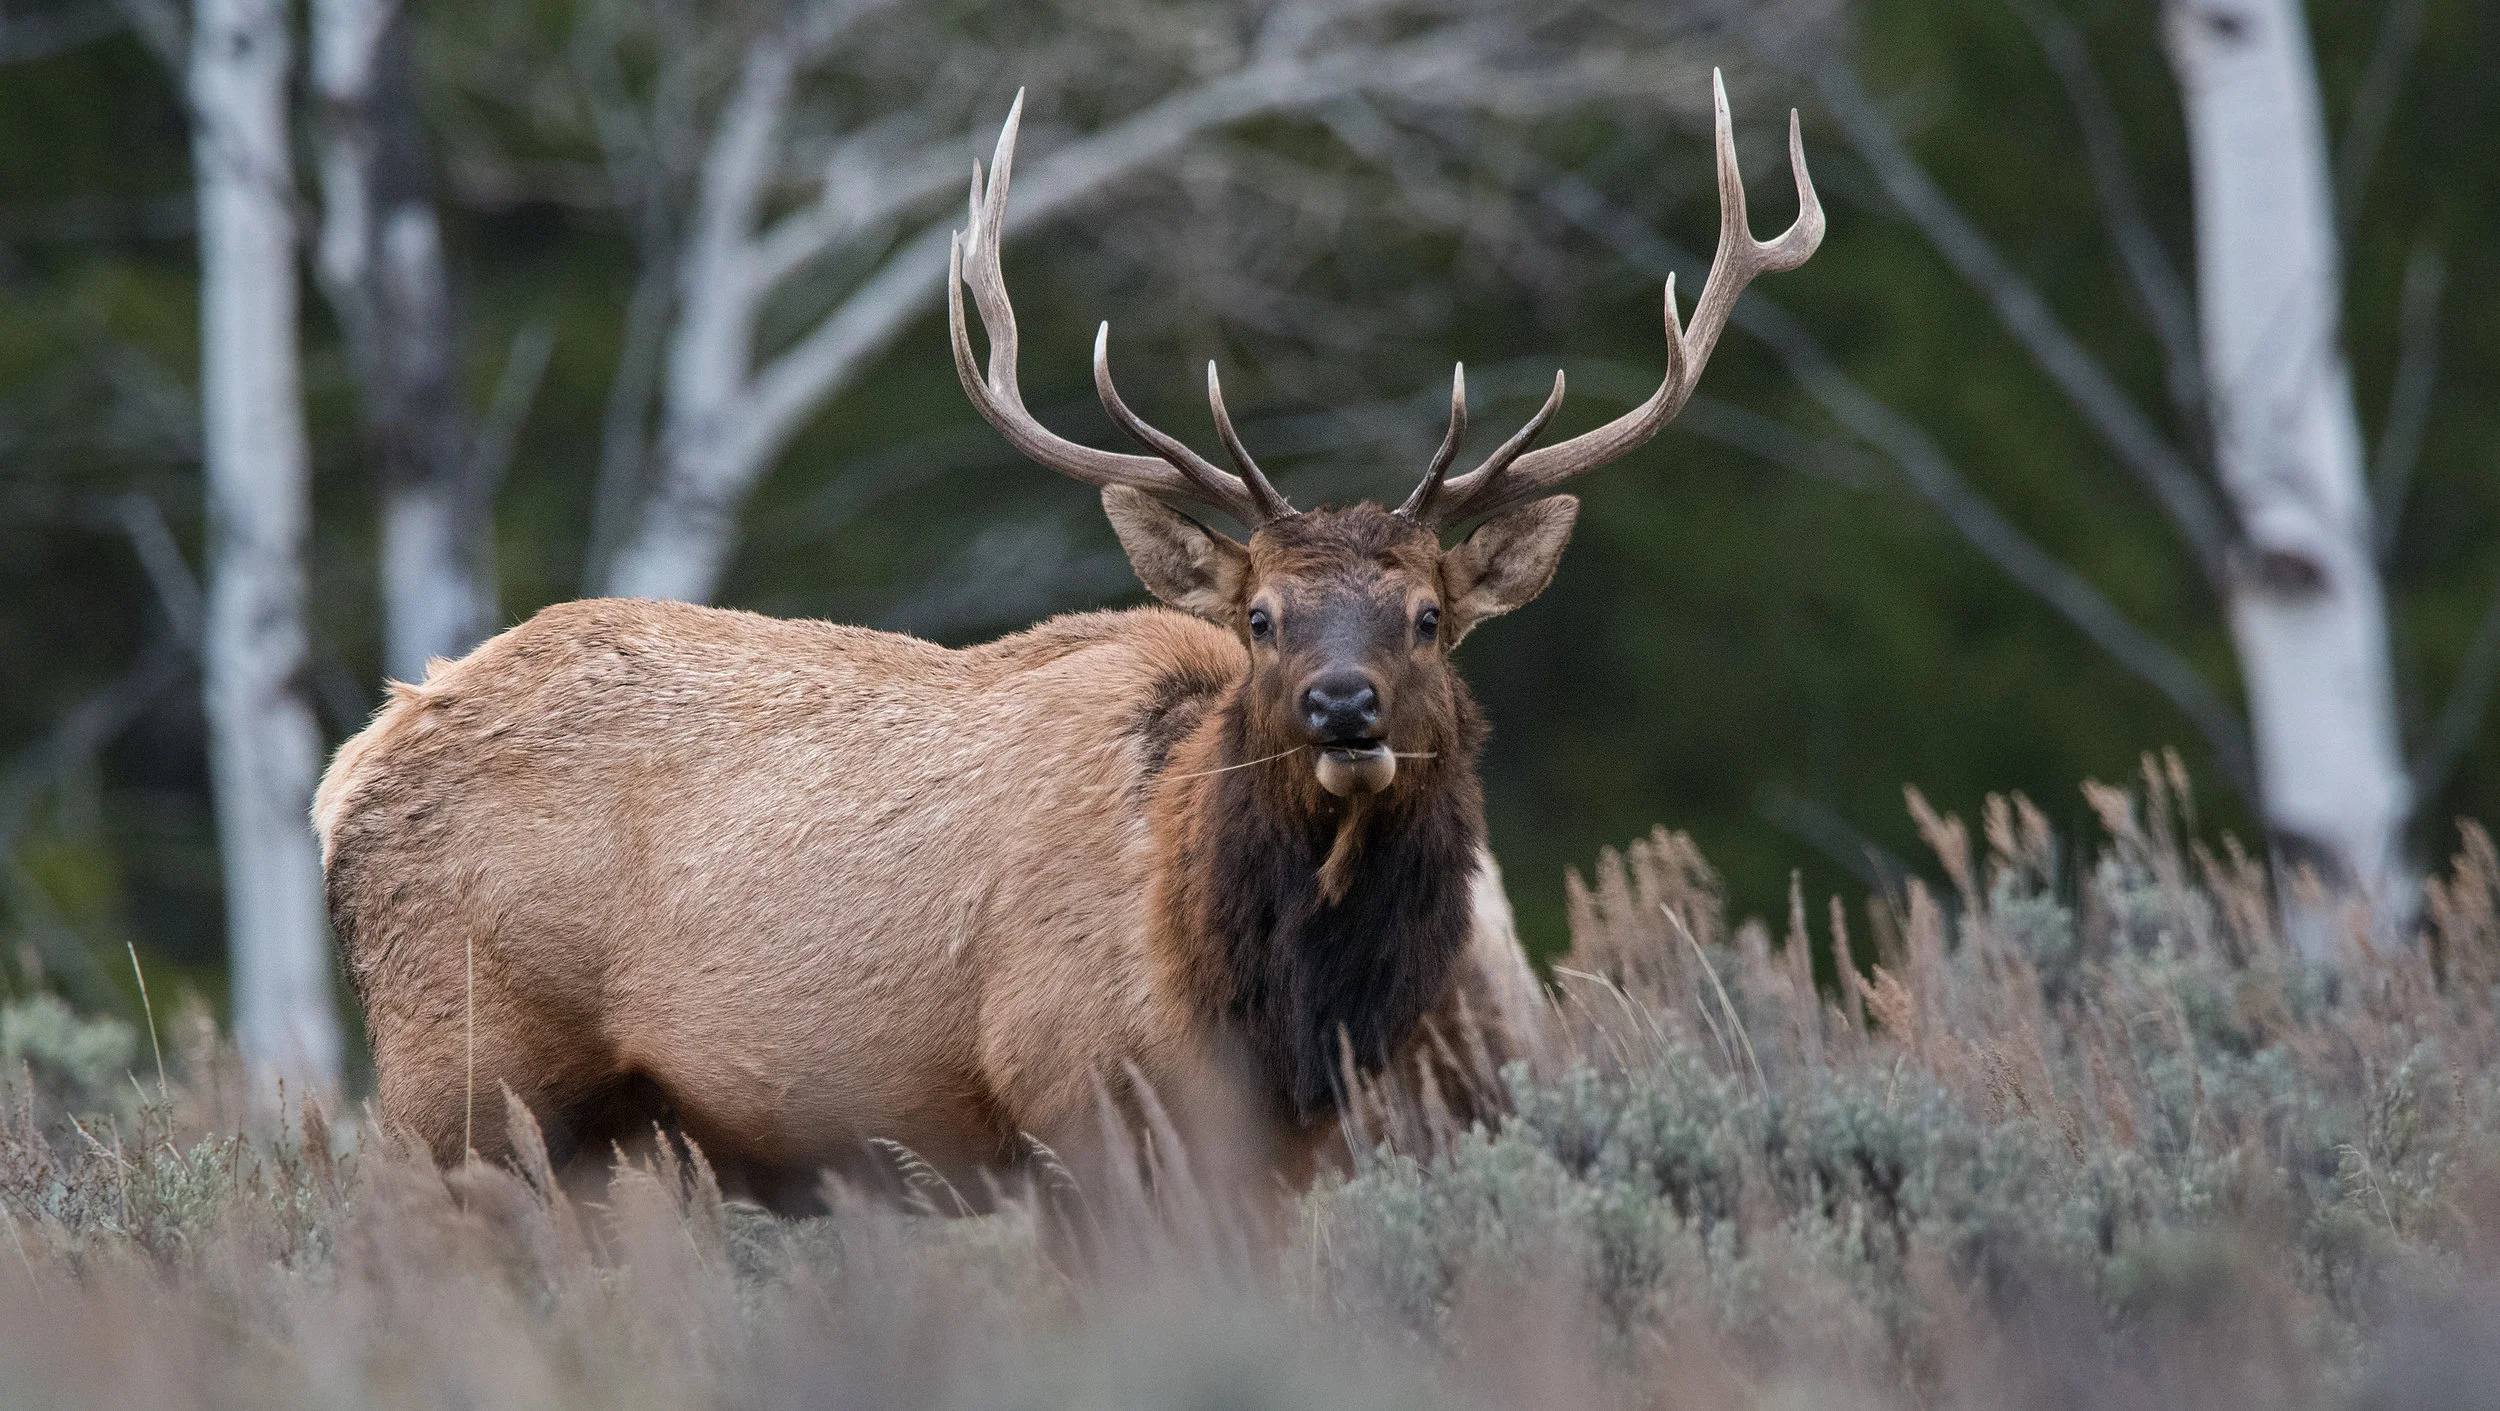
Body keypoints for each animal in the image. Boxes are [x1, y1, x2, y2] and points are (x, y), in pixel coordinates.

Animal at [314, 76, 1820, 1209]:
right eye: (1260, 616)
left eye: (1429, 616)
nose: (1342, 706)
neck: (1268, 1003)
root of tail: (354, 759)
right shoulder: (1073, 1098)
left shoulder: (1281, 1150)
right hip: (463, 1068)